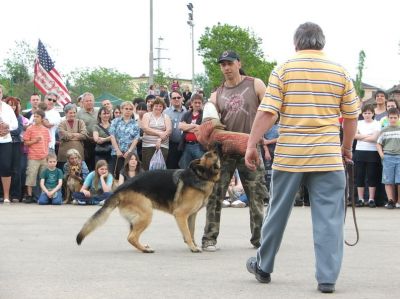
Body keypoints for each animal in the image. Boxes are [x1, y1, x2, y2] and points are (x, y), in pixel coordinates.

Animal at [76, 148, 220, 253]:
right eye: (207, 155)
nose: (216, 149)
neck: (200, 176)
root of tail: (119, 189)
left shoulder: (191, 215)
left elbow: (191, 231)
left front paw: (193, 245)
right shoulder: (180, 214)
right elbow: (188, 233)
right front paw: (193, 247)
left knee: (132, 235)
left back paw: (143, 247)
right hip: (147, 214)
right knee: (131, 237)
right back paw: (145, 250)